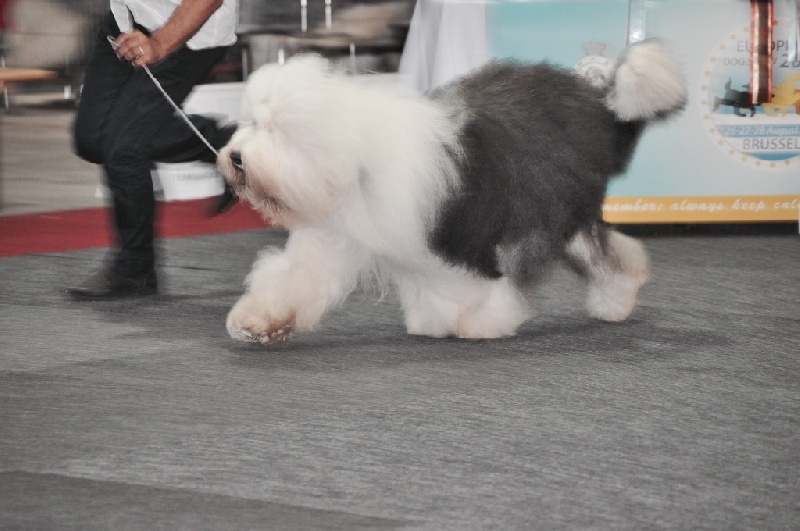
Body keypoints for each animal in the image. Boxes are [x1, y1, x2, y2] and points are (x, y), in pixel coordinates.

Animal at [218, 39, 687, 344]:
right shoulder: (337, 235)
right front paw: (256, 320)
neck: (356, 159)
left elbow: (482, 281)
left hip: (540, 209)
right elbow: (296, 277)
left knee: (547, 261)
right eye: (251, 123)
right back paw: (617, 300)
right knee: (608, 252)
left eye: (277, 130)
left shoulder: (460, 232)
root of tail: (598, 106)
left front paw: (479, 321)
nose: (235, 157)